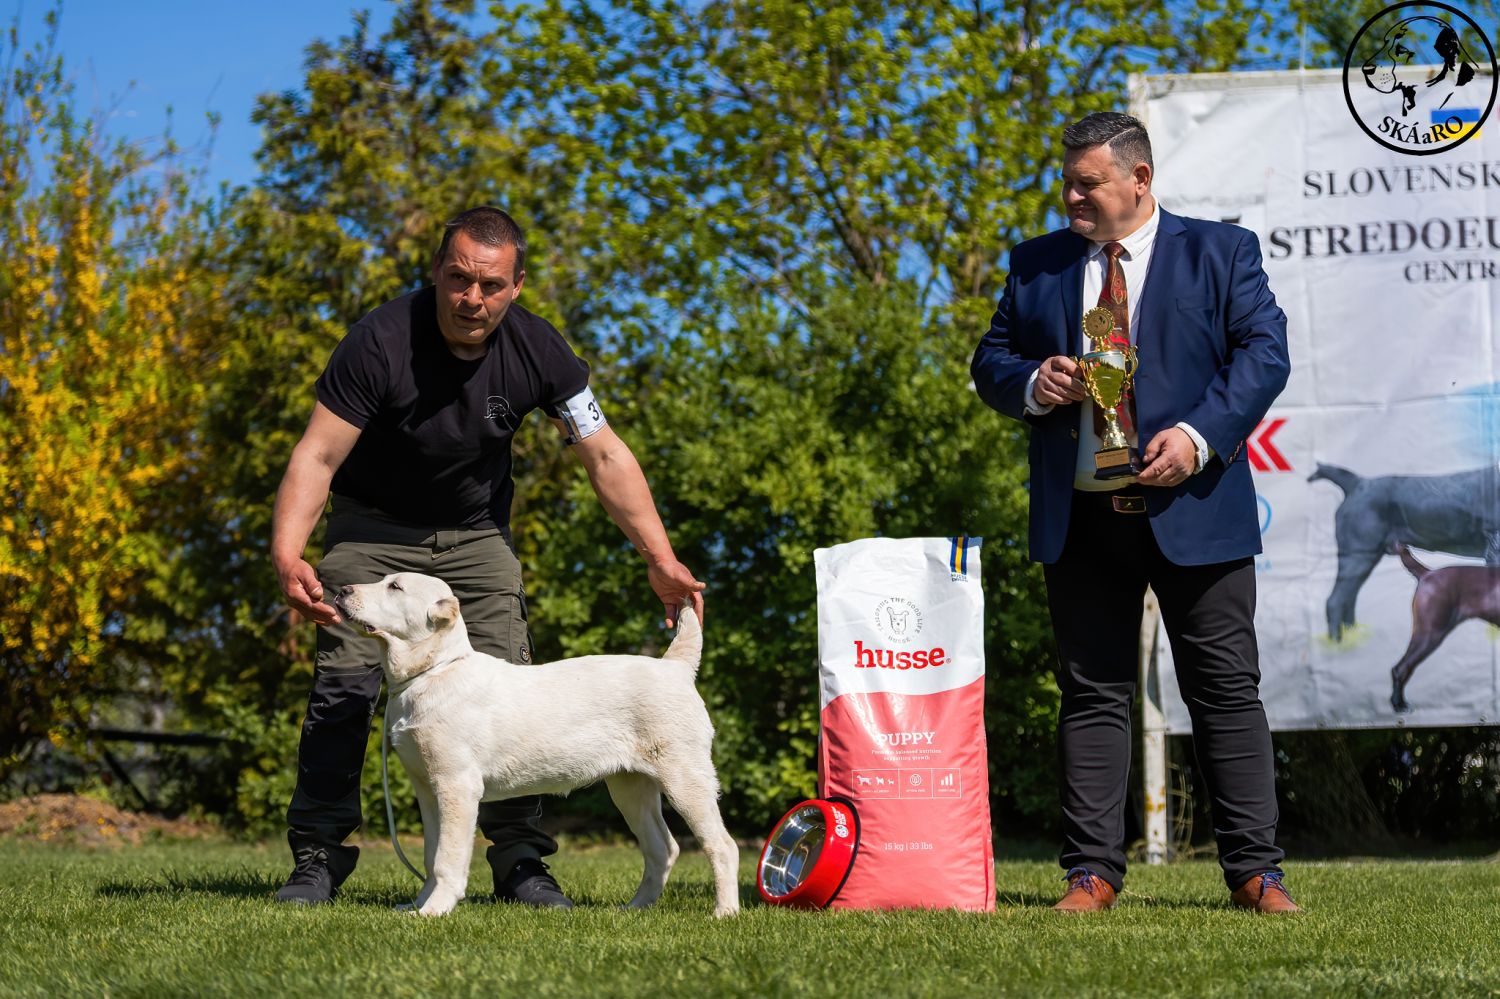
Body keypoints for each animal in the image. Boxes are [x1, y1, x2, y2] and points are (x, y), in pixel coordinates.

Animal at [333, 572, 739, 917]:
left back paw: (725, 912)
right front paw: (418, 905)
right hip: (630, 787)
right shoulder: (427, 790)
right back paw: (634, 908)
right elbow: (431, 855)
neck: (435, 671)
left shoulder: (456, 785)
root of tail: (674, 667)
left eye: (395, 587)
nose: (340, 590)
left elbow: (448, 857)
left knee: (722, 845)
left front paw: (434, 910)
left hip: (685, 776)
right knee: (662, 849)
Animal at [1307, 463, 1500, 640]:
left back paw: (1353, 633)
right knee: (1335, 600)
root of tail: (1356, 483)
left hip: (1365, 558)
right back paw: (1337, 643)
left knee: (1349, 596)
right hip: (1357, 556)